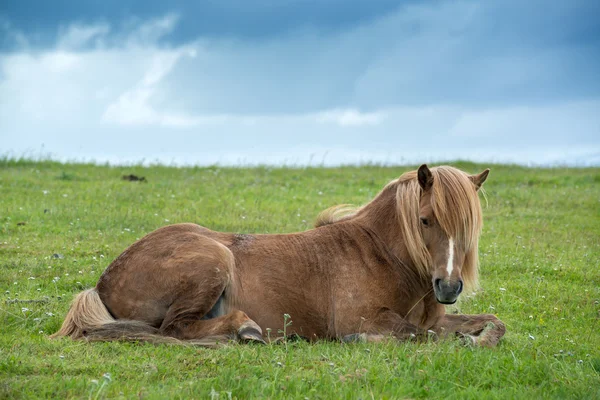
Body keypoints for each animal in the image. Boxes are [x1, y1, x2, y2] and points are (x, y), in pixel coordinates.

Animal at [50, 165, 506, 346]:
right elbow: (416, 335)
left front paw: (476, 338)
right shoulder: (363, 319)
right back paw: (245, 330)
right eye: (426, 220)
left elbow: (493, 324)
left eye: (470, 227)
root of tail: (103, 283)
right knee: (175, 328)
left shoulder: (438, 318)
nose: (448, 287)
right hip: (213, 259)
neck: (380, 255)